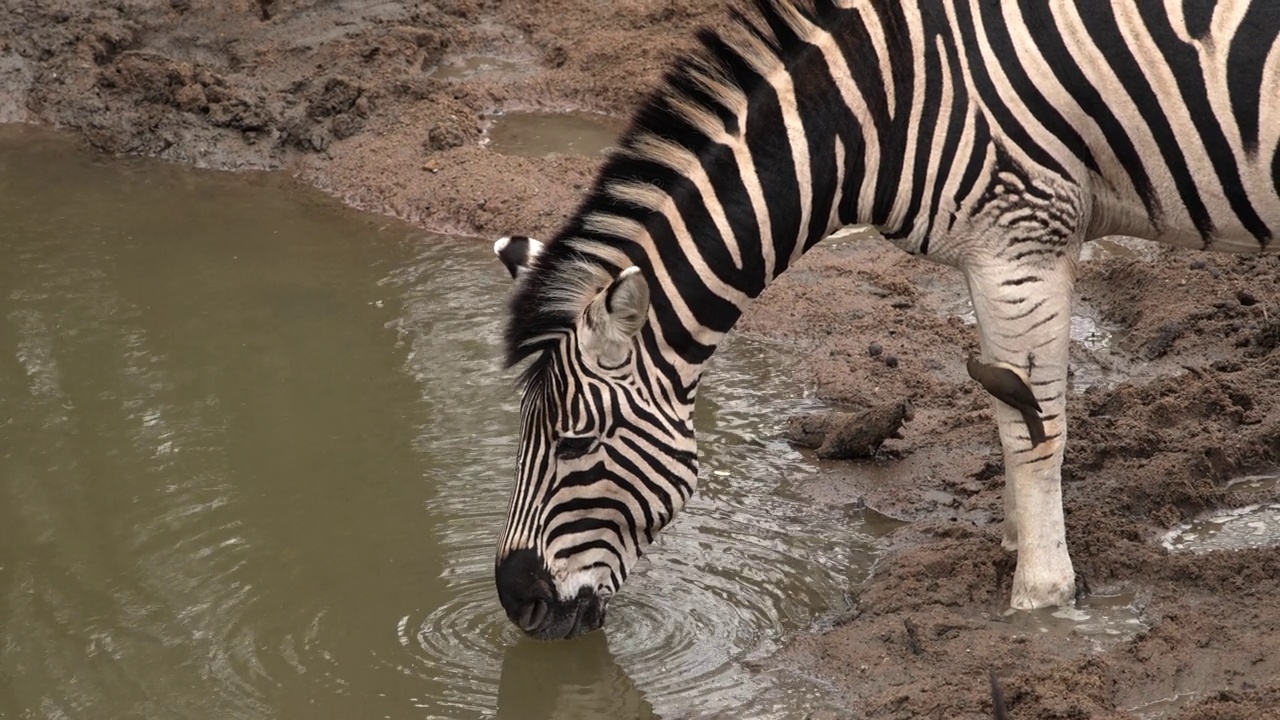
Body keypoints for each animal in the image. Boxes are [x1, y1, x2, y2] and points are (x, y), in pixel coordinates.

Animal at [486, 0, 1269, 638]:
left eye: (576, 443)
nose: (516, 603)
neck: (880, 114)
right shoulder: (994, 252)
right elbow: (1005, 408)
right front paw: (1017, 543)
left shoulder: (1026, 238)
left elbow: (1034, 431)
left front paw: (1042, 597)